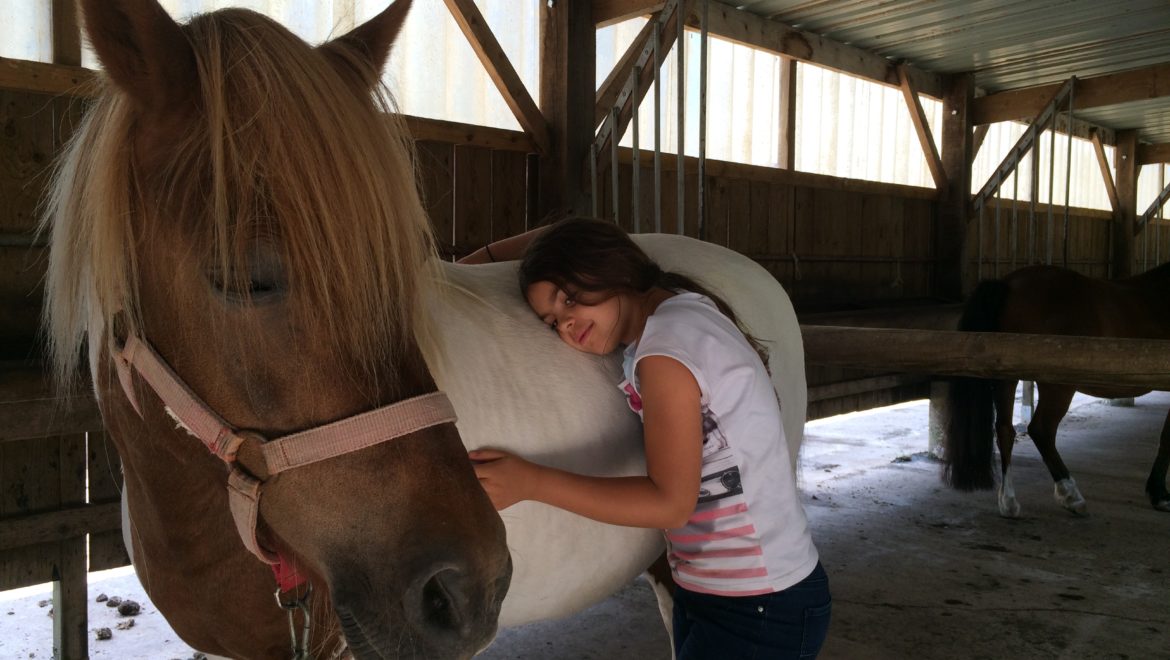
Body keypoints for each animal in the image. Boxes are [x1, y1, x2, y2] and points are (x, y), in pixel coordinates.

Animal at [940, 262, 1170, 514]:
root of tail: (1009, 284)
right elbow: (1167, 437)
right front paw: (1160, 494)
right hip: (1057, 385)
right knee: (1042, 429)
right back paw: (1070, 494)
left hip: (1006, 376)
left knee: (1004, 429)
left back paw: (1008, 501)